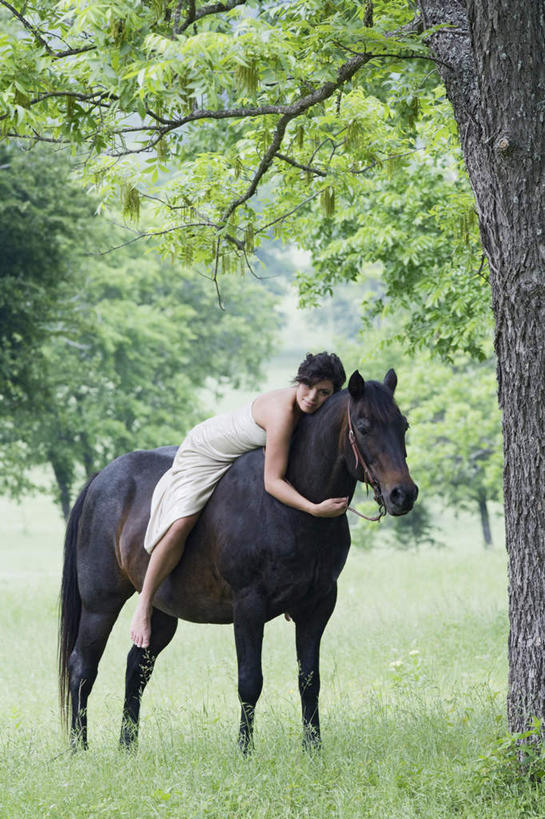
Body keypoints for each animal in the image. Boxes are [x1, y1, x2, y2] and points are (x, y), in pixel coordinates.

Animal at [58, 370, 416, 748]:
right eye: (363, 427)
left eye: (403, 425)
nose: (403, 494)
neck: (290, 503)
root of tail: (101, 478)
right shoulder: (249, 607)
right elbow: (250, 682)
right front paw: (245, 750)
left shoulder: (317, 606)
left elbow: (309, 681)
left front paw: (313, 748)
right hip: (101, 604)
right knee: (82, 667)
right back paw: (79, 748)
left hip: (158, 611)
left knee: (136, 669)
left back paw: (127, 748)